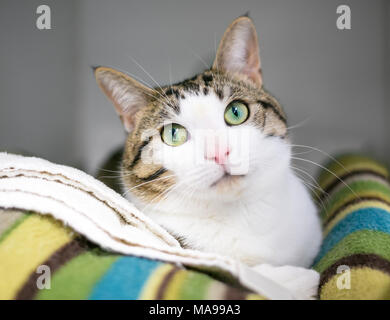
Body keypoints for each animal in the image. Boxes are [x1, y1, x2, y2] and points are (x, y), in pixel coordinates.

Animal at [93, 16, 320, 298]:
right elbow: (226, 270)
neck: (242, 214)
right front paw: (291, 282)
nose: (218, 152)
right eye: (173, 133)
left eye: (236, 112)